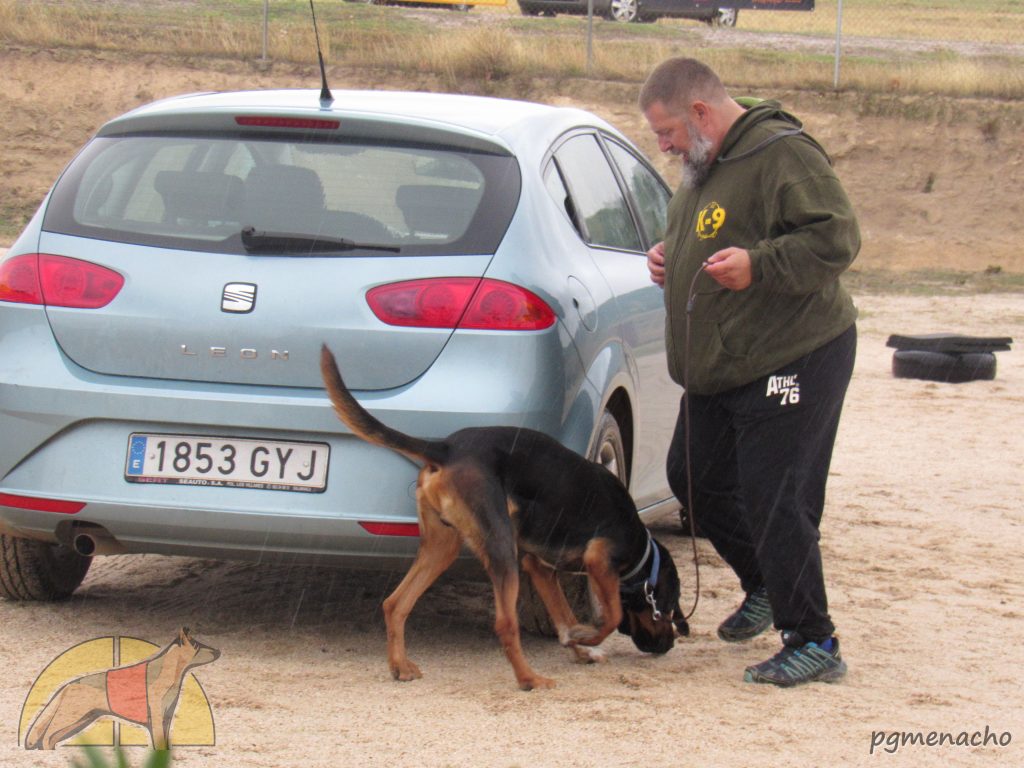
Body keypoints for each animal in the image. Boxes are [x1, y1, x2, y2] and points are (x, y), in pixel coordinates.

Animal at [319, 348, 688, 692]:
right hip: (501, 549)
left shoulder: (540, 567)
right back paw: (529, 679)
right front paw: (586, 637)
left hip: (443, 547)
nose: (670, 644)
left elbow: (564, 617)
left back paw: (400, 666)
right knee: (505, 625)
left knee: (395, 603)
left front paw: (579, 646)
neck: (640, 548)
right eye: (668, 607)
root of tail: (446, 448)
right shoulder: (598, 559)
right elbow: (610, 617)